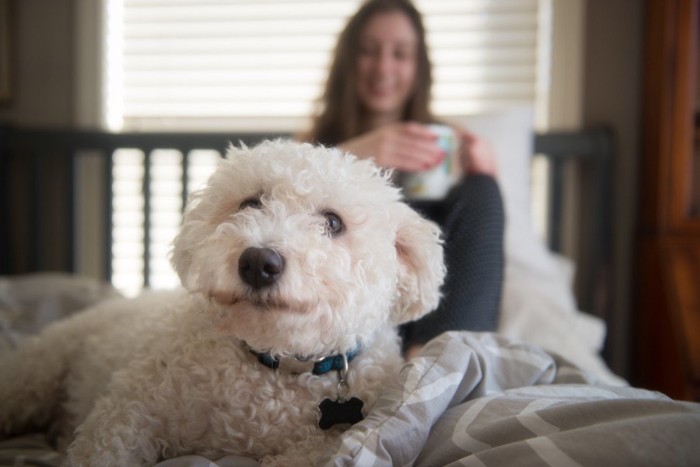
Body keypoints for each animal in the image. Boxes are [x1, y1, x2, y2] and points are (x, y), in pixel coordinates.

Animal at [0, 140, 446, 467]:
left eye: (333, 222)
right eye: (251, 203)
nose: (258, 263)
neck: (273, 370)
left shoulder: (323, 444)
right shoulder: (129, 412)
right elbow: (104, 448)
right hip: (33, 376)